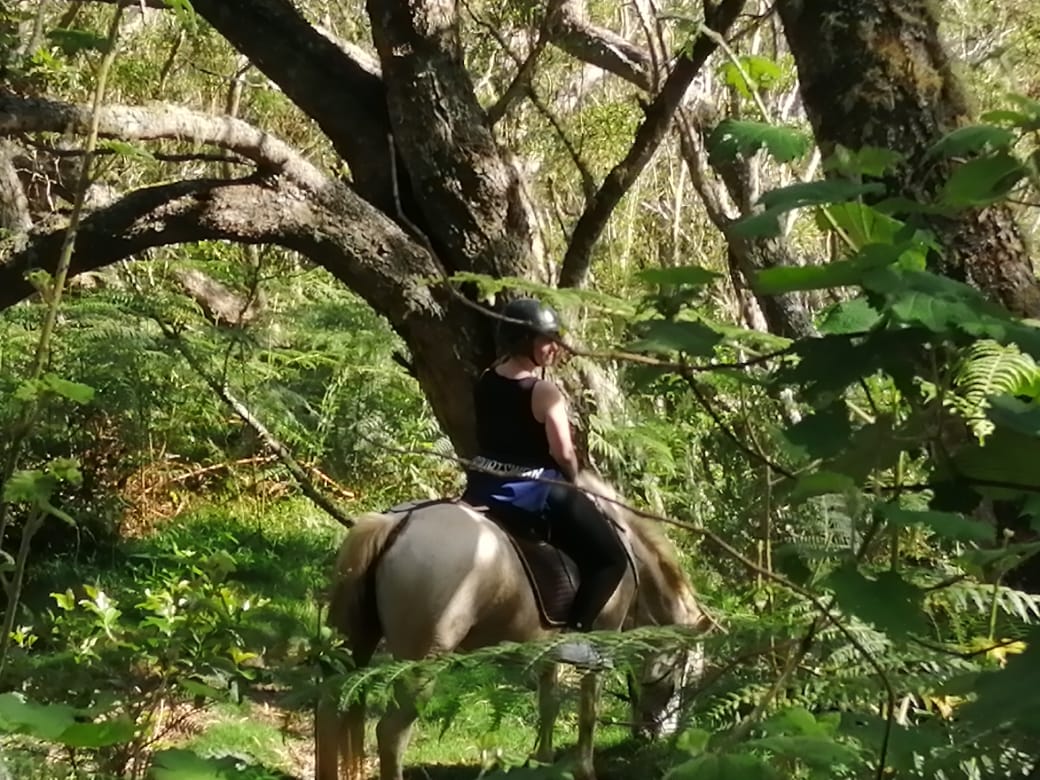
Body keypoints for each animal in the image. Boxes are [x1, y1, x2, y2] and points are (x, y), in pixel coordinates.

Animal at [316, 470, 707, 780]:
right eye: (680, 679)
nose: (655, 737)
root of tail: (398, 524)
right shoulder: (600, 647)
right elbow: (587, 713)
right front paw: (583, 769)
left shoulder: (549, 649)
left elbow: (549, 705)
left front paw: (544, 762)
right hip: (422, 665)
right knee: (391, 735)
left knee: (330, 715)